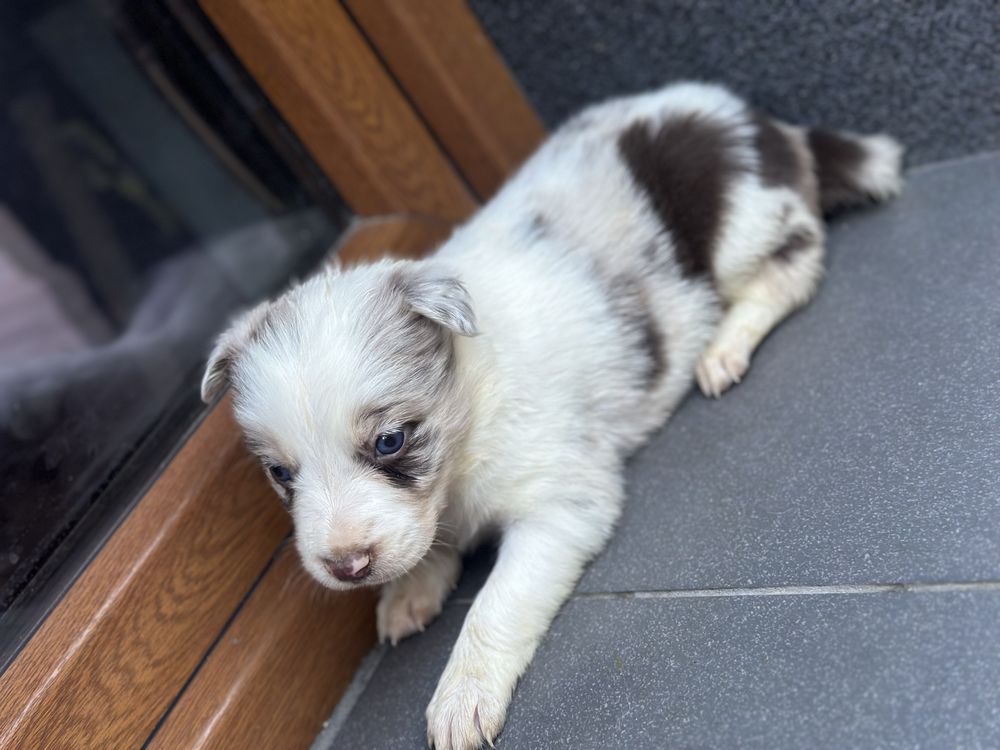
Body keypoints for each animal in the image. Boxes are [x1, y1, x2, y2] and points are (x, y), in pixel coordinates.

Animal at [199, 82, 904, 750]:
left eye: (391, 440)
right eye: (280, 475)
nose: (346, 568)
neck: (470, 412)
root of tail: (765, 123)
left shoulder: (561, 505)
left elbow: (494, 606)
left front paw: (460, 698)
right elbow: (425, 545)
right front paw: (411, 590)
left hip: (741, 224)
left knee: (794, 266)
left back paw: (723, 348)